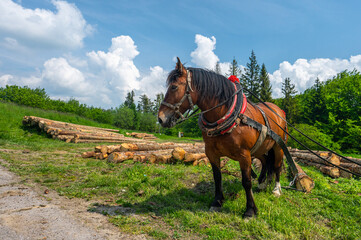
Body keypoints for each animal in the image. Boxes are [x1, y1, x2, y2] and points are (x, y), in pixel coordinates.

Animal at [158, 58, 286, 218]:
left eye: (174, 87)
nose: (160, 118)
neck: (229, 116)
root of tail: (278, 110)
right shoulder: (211, 152)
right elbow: (217, 177)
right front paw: (217, 202)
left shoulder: (244, 154)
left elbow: (246, 181)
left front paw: (250, 210)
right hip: (260, 147)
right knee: (266, 161)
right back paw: (263, 183)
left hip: (278, 146)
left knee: (277, 165)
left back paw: (276, 189)